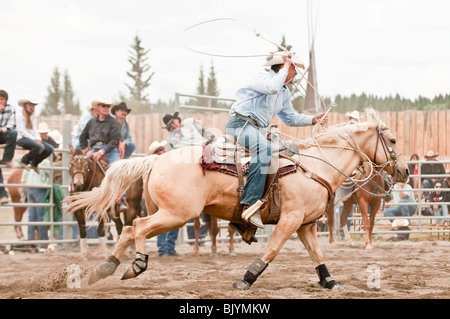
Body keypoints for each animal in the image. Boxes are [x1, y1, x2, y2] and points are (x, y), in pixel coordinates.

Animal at [67, 109, 412, 292]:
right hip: (177, 214)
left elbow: (317, 254)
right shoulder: (289, 221)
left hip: (170, 213)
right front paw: (246, 279)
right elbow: (271, 251)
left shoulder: (306, 225)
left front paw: (330, 282)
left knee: (128, 229)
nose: (406, 170)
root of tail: (156, 159)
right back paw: (136, 265)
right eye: (393, 140)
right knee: (137, 227)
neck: (315, 166)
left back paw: (104, 269)